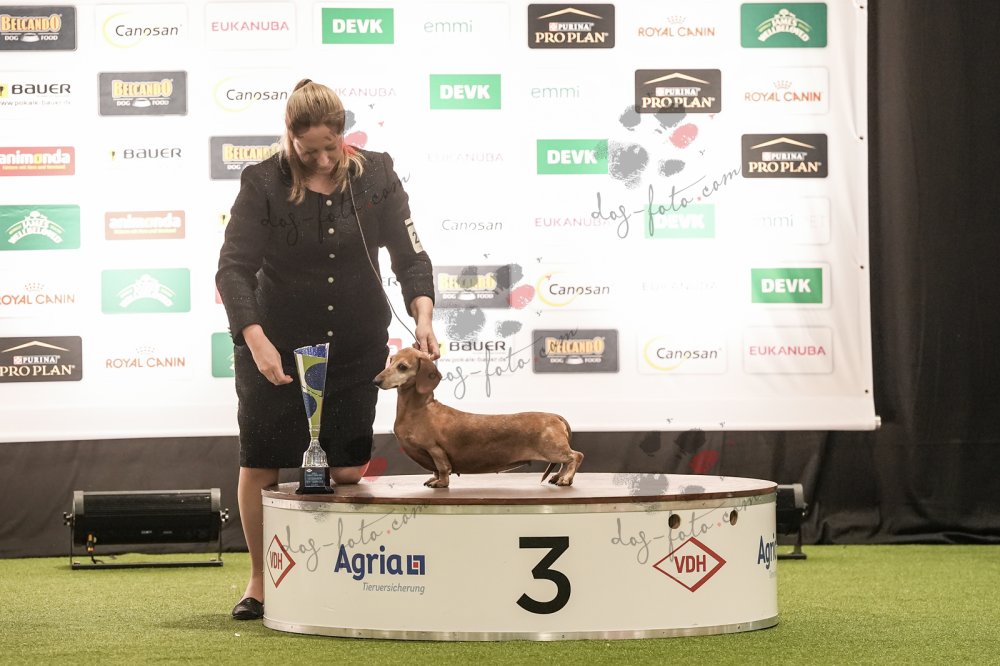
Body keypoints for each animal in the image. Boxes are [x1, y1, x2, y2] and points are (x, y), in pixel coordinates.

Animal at [373, 346, 583, 488]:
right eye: (390, 360)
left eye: (402, 366)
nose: (375, 381)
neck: (418, 409)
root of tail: (555, 416)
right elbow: (435, 470)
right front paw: (434, 479)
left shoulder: (435, 449)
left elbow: (442, 468)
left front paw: (440, 482)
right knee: (566, 462)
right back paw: (558, 477)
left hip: (552, 449)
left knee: (575, 456)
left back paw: (565, 479)